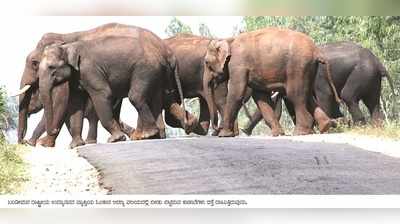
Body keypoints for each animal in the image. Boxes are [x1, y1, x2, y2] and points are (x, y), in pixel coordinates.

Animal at [203, 28, 340, 136]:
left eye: (207, 63)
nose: (215, 129)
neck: (228, 39)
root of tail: (316, 50)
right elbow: (261, 98)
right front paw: (278, 134)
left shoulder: (238, 65)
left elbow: (236, 94)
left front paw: (223, 135)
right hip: (309, 68)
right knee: (307, 95)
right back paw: (325, 126)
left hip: (298, 67)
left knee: (295, 95)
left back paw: (300, 132)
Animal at [242, 40, 396, 135]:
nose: (244, 131)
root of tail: (379, 63)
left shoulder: (318, 77)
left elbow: (325, 96)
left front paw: (325, 127)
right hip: (371, 78)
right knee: (373, 102)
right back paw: (375, 128)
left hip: (362, 73)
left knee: (348, 96)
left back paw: (359, 127)